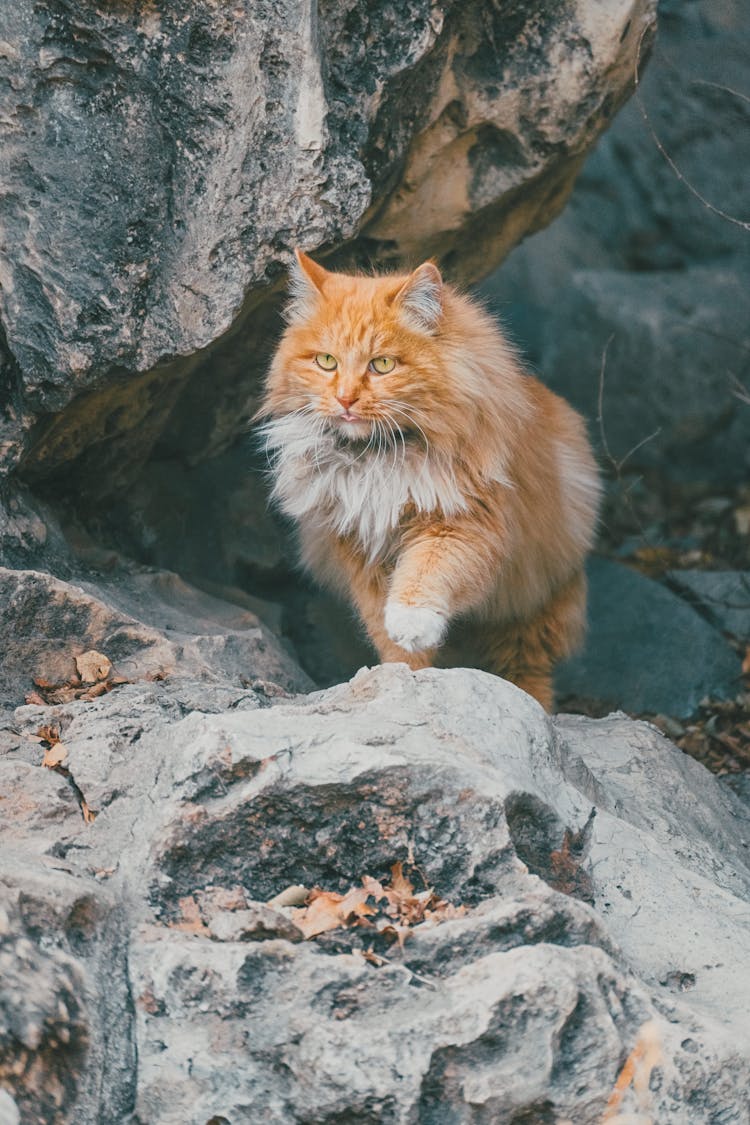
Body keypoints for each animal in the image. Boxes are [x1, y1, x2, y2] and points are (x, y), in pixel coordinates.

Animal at [260, 253, 602, 711]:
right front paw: (405, 676)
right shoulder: (361, 546)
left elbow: (426, 575)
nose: (346, 399)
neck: (379, 460)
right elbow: (384, 629)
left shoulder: (461, 525)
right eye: (326, 361)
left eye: (382, 364)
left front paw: (412, 622)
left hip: (532, 604)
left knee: (528, 669)